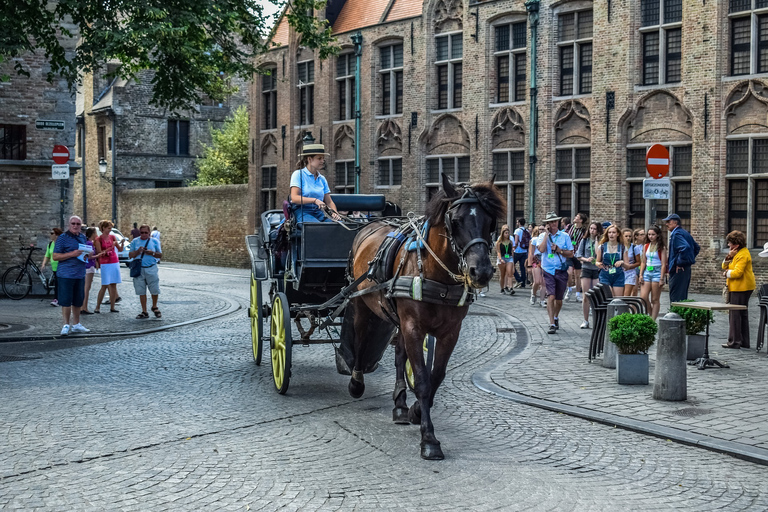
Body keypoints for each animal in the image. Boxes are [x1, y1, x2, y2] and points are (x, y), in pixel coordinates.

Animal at [346, 175, 504, 460]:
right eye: (456, 221)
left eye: (490, 222)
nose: (482, 271)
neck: (436, 274)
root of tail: (369, 225)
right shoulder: (413, 327)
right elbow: (420, 379)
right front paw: (429, 439)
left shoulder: (450, 332)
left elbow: (435, 377)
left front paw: (415, 411)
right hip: (363, 303)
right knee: (361, 340)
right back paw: (356, 383)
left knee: (399, 355)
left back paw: (399, 404)